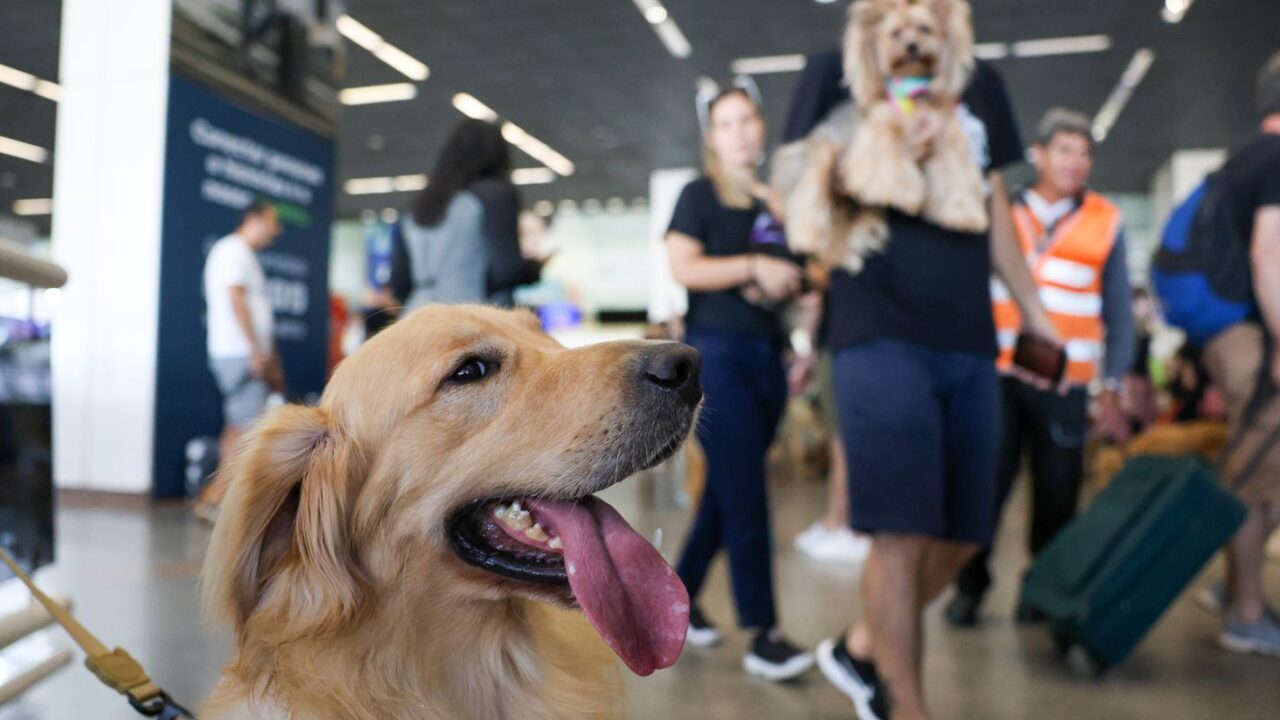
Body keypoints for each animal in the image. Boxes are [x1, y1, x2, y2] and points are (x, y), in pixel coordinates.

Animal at [783, 0, 983, 271]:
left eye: (925, 28)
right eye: (895, 33)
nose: (912, 46)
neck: (912, 90)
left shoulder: (945, 138)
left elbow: (956, 176)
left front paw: (965, 216)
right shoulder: (883, 129)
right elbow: (890, 166)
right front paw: (901, 194)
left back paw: (845, 256)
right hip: (824, 154)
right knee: (810, 195)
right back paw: (808, 235)